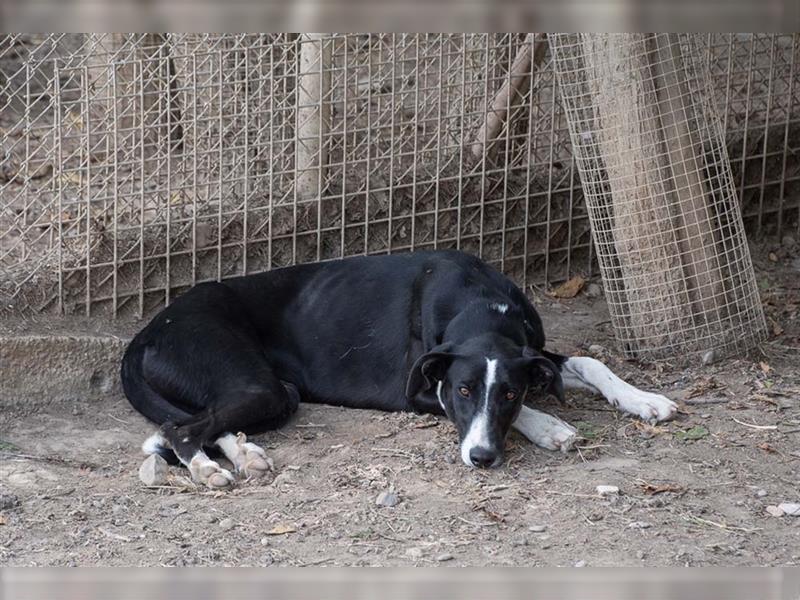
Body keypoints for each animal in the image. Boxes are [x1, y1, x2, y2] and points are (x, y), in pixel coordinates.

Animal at [122, 248, 680, 488]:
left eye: (509, 393)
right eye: (462, 390)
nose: (482, 459)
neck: (481, 303)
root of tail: (149, 328)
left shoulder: (531, 353)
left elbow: (590, 360)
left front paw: (645, 400)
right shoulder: (419, 390)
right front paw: (551, 426)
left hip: (275, 392)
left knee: (198, 421)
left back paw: (246, 453)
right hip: (256, 384)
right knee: (179, 428)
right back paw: (209, 469)